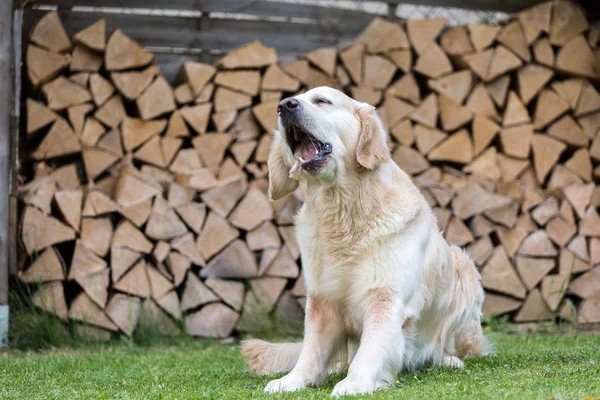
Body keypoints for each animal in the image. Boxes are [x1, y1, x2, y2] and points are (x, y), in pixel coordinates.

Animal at [241, 86, 490, 396]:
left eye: (322, 100)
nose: (285, 106)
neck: (344, 212)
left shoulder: (385, 296)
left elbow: (372, 347)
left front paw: (355, 383)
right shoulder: (322, 299)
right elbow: (311, 349)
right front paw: (294, 380)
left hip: (464, 268)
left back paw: (447, 359)